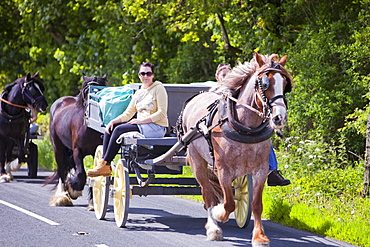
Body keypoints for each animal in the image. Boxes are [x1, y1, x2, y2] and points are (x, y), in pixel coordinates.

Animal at [47, 74, 106, 207]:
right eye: (86, 90)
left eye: (102, 89)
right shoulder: (77, 151)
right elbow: (81, 174)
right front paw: (74, 189)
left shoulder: (96, 152)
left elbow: (93, 173)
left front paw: (92, 202)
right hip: (58, 149)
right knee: (61, 170)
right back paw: (63, 197)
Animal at [181, 52, 292, 245]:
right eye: (265, 83)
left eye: (285, 84)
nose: (280, 117)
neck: (245, 128)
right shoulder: (223, 171)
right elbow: (228, 203)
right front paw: (219, 214)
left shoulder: (260, 170)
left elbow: (256, 204)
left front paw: (259, 236)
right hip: (197, 161)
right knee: (207, 193)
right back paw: (213, 228)